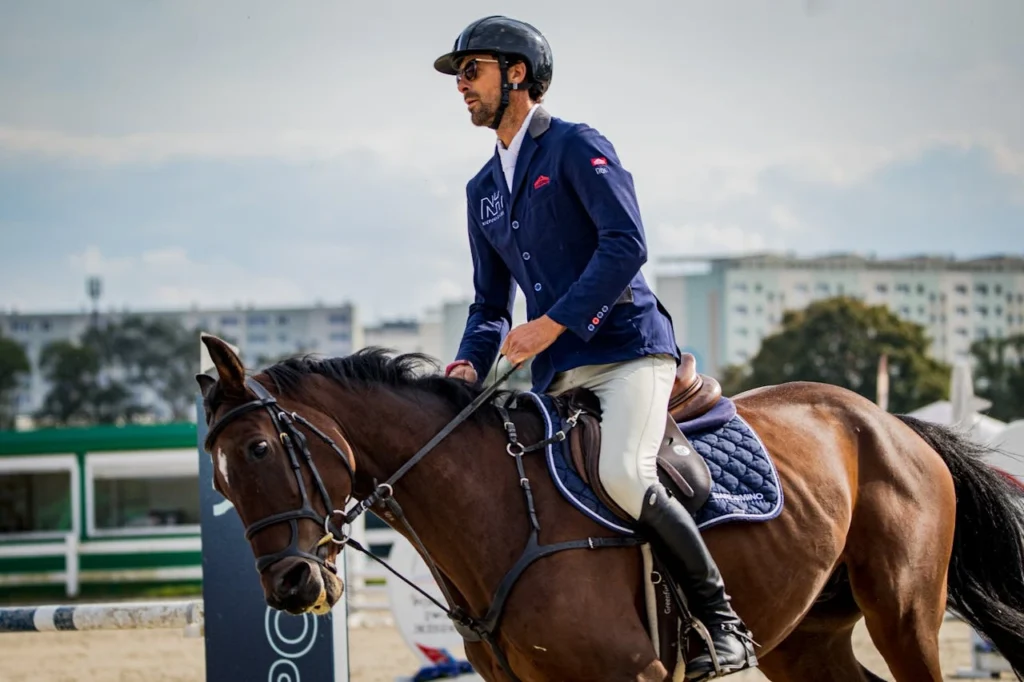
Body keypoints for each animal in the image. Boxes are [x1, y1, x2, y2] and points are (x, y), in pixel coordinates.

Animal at [195, 333, 1024, 679]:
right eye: (221, 483)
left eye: (261, 451)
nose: (291, 589)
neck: (501, 515)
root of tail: (890, 422)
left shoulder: (634, 675)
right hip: (803, 639)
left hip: (903, 614)